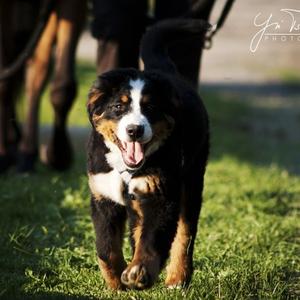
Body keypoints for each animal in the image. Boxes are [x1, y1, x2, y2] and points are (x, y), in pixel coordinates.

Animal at [85, 19, 210, 290]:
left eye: (150, 107)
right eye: (118, 107)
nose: (135, 130)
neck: (126, 169)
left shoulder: (160, 194)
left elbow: (152, 240)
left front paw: (139, 271)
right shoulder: (103, 195)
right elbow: (105, 247)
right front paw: (116, 283)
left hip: (192, 179)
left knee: (185, 234)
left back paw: (177, 277)